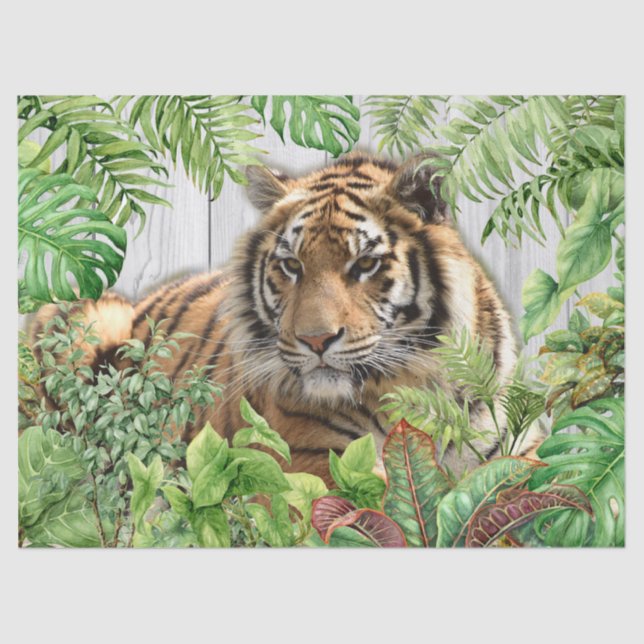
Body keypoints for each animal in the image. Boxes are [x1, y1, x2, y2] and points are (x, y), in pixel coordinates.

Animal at [30, 152, 543, 484]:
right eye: (292, 266)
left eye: (365, 264)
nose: (316, 341)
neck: (415, 390)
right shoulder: (304, 457)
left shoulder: (521, 442)